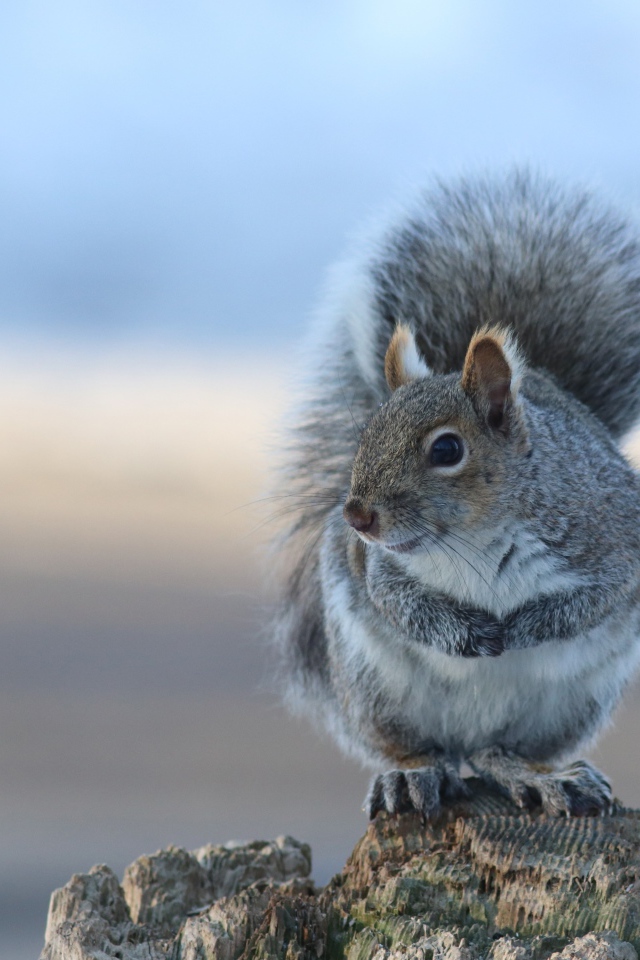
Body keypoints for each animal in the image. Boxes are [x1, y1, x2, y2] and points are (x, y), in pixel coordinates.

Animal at [272, 169, 640, 812]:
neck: (474, 537)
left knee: (497, 754)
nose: (356, 517)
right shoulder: (382, 566)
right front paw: (466, 633)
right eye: (367, 431)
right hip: (375, 689)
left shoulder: (611, 543)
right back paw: (413, 772)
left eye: (446, 450)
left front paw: (523, 627)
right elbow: (398, 600)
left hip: (568, 706)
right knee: (424, 749)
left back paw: (543, 775)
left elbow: (594, 599)